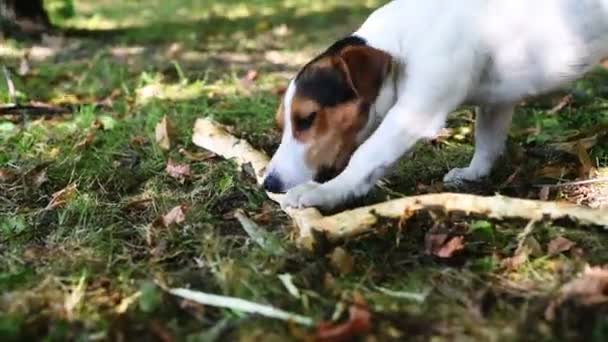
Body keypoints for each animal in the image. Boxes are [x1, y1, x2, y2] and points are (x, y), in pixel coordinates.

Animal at [264, 0, 608, 210]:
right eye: (283, 124)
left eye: (308, 118)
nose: (269, 183)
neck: (401, 43)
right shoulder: (496, 103)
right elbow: (487, 142)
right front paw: (474, 173)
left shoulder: (413, 114)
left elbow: (367, 155)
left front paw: (326, 191)